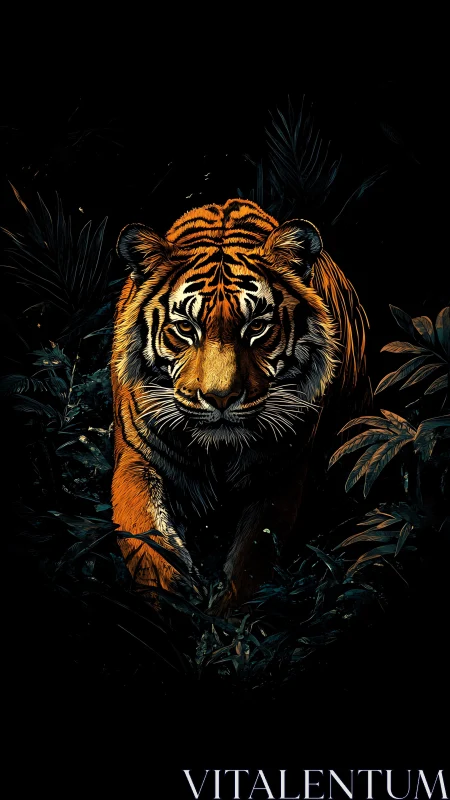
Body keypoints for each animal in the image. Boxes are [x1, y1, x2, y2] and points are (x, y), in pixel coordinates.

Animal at [111, 198, 369, 613]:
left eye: (257, 327)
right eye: (186, 328)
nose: (220, 397)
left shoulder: (279, 473)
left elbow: (255, 552)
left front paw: (228, 616)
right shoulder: (137, 457)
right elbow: (140, 527)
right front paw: (174, 595)